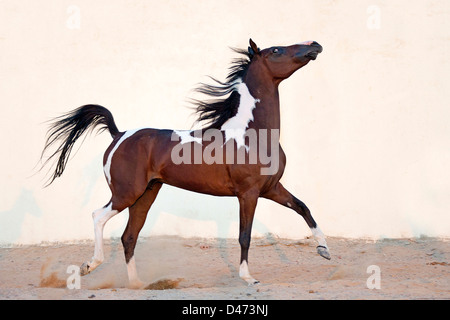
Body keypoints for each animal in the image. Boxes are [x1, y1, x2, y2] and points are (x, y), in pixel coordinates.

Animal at [41, 38, 330, 288]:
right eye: (277, 50)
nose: (315, 45)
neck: (252, 133)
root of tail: (119, 134)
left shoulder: (271, 188)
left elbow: (303, 208)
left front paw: (324, 250)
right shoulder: (248, 193)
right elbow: (244, 236)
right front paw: (249, 278)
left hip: (146, 194)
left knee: (129, 236)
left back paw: (137, 284)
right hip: (126, 193)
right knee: (98, 216)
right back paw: (89, 266)